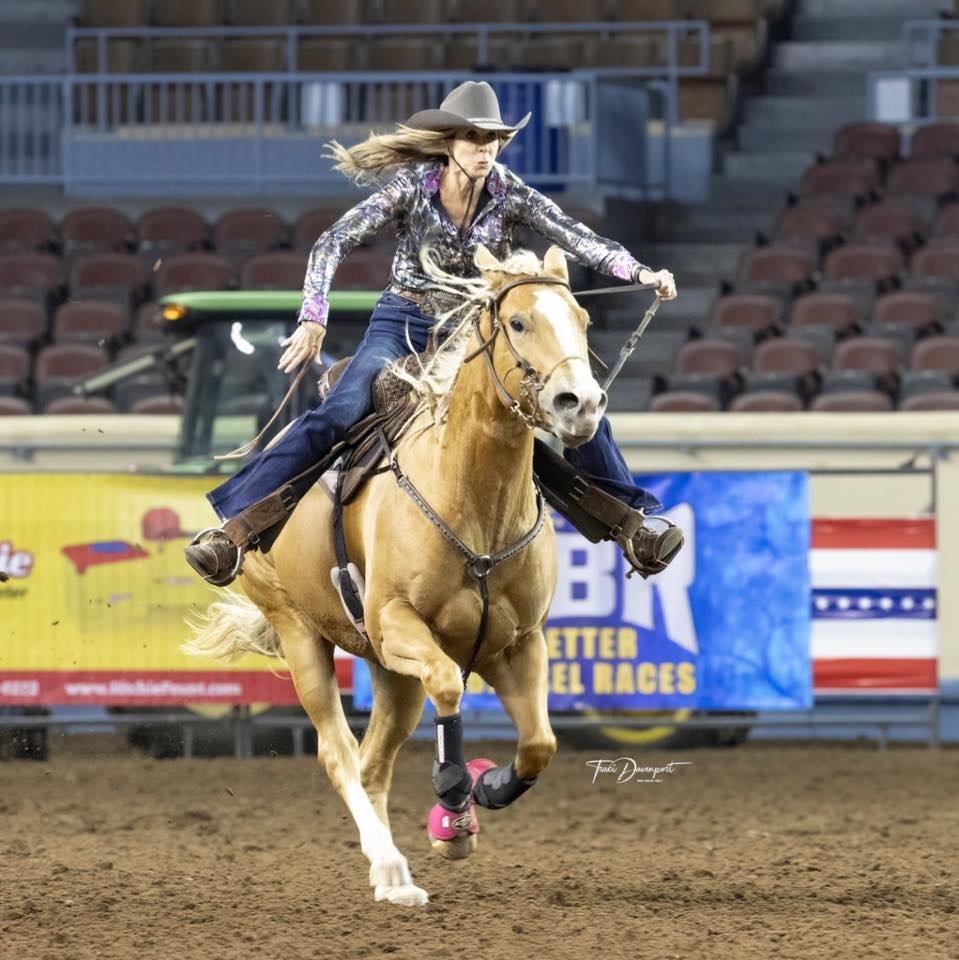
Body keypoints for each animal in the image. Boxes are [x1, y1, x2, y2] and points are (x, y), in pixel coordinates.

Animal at [184, 244, 607, 906]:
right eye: (517, 322)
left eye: (583, 322)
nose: (581, 403)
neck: (474, 501)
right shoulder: (396, 623)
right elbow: (450, 688)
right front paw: (454, 798)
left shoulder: (518, 643)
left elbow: (540, 743)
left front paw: (483, 790)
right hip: (302, 633)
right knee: (339, 755)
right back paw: (387, 863)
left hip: (389, 673)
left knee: (372, 763)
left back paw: (394, 876)